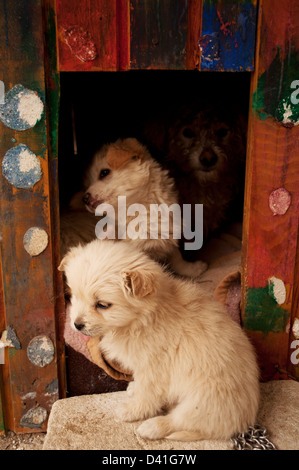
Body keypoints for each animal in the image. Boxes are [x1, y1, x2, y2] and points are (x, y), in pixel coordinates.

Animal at [59, 241, 262, 442]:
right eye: (74, 296)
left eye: (102, 305)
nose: (76, 325)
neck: (141, 319)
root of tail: (243, 420)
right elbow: (140, 385)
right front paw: (134, 388)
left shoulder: (154, 370)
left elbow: (146, 396)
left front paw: (132, 411)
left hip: (202, 403)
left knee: (180, 421)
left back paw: (152, 427)